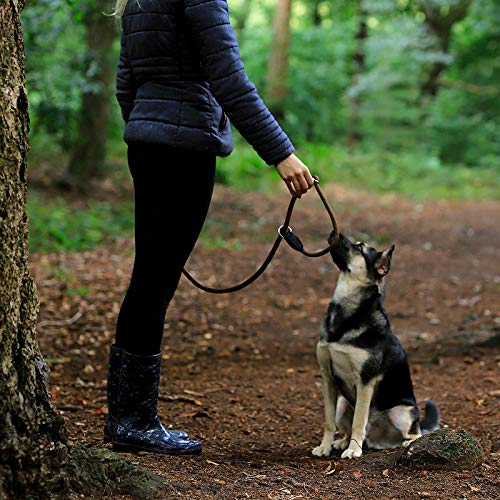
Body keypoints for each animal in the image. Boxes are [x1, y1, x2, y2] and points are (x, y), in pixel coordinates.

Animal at [312, 232, 438, 458]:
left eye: (360, 248)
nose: (334, 233)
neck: (349, 311)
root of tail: (378, 440)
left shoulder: (365, 381)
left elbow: (358, 422)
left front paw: (354, 450)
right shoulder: (327, 376)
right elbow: (328, 421)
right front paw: (325, 446)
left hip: (402, 412)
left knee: (415, 432)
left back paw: (407, 443)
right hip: (342, 405)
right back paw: (342, 442)